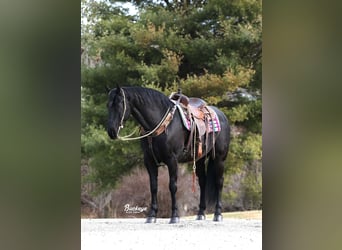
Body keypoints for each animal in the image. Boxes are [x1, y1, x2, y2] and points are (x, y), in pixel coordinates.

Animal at [106, 87, 230, 224]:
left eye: (119, 104)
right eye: (108, 105)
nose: (111, 131)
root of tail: (221, 115)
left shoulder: (172, 160)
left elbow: (173, 186)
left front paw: (174, 216)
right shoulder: (149, 161)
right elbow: (153, 187)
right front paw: (151, 215)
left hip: (219, 158)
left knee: (219, 182)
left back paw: (218, 214)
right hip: (200, 159)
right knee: (203, 182)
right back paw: (200, 213)